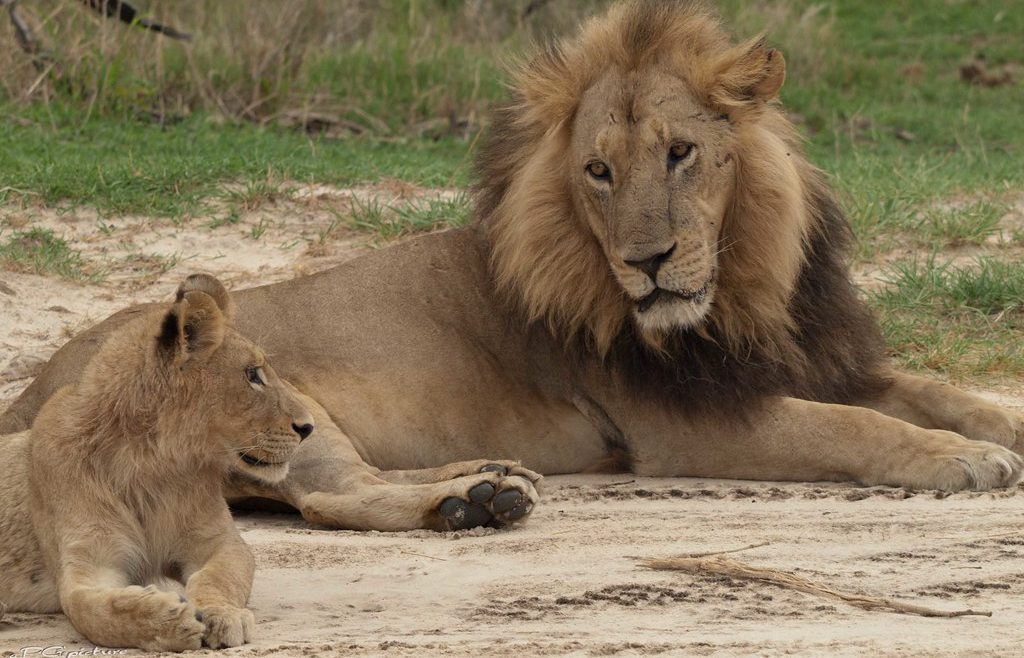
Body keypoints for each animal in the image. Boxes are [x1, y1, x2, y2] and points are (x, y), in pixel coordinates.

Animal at [2, 0, 1022, 532]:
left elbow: (940, 393)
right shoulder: (682, 427)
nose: (648, 263)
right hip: (282, 405)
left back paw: (490, 478)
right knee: (332, 498)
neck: (743, 286)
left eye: (681, 153)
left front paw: (991, 429)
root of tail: (33, 389)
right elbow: (853, 427)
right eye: (598, 172)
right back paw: (472, 504)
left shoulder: (819, 358)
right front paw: (963, 462)